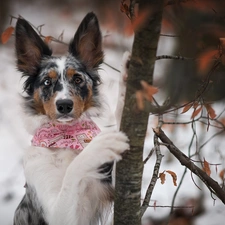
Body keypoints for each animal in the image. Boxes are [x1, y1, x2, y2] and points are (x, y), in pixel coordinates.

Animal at [14, 12, 129, 225]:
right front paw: (99, 145)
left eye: (77, 79)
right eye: (47, 82)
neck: (65, 138)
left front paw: (130, 78)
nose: (65, 105)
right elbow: (73, 171)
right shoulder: (58, 214)